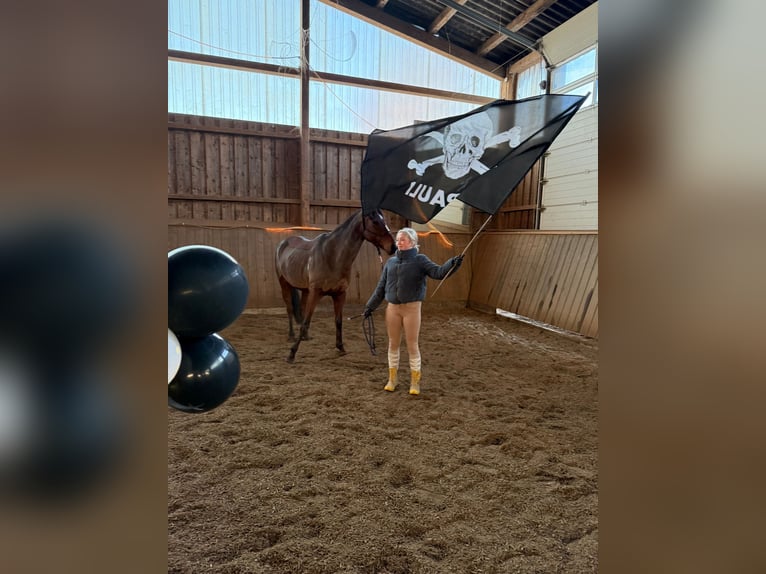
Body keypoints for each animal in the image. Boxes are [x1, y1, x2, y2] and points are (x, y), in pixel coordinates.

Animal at [275, 209, 396, 363]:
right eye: (375, 221)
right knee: (290, 309)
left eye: (384, 220)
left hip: (305, 290)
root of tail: (284, 243)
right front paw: (292, 353)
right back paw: (291, 335)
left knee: (301, 310)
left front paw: (340, 347)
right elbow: (306, 322)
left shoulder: (340, 294)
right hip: (284, 284)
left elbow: (338, 321)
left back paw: (306, 337)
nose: (393, 246)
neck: (332, 255)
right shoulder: (316, 293)